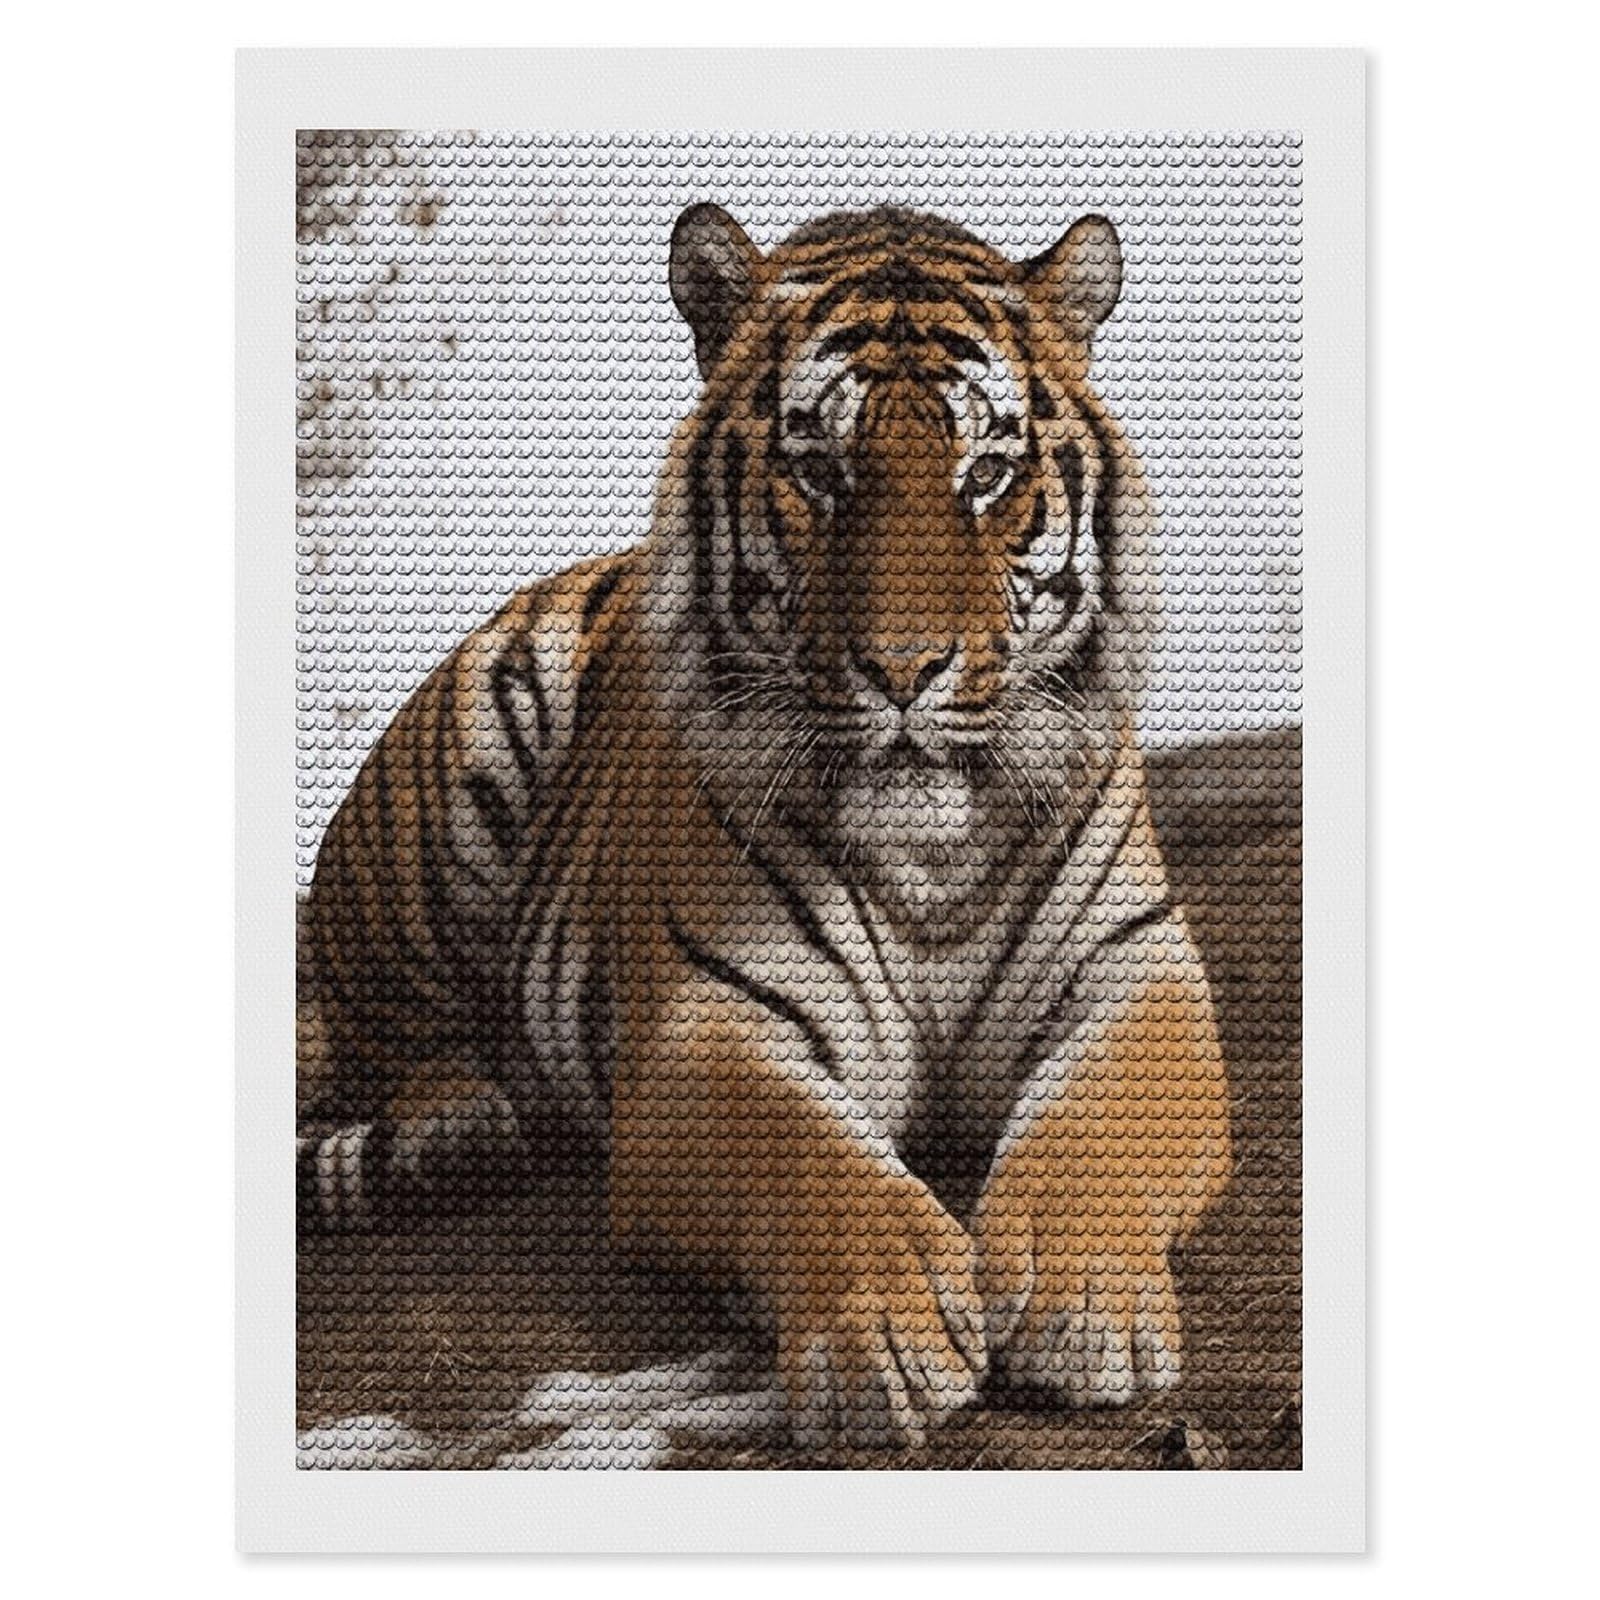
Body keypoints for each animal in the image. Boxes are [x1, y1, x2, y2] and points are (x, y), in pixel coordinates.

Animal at [298, 202, 1232, 1453]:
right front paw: (887, 1334)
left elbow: (1097, 1127)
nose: (904, 668)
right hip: (445, 792)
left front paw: (1083, 1311)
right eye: (818, 470)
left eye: (986, 473)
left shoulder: (1137, 975)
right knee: (382, 1037)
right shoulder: (708, 1026)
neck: (930, 854)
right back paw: (459, 1117)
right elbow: (810, 1161)